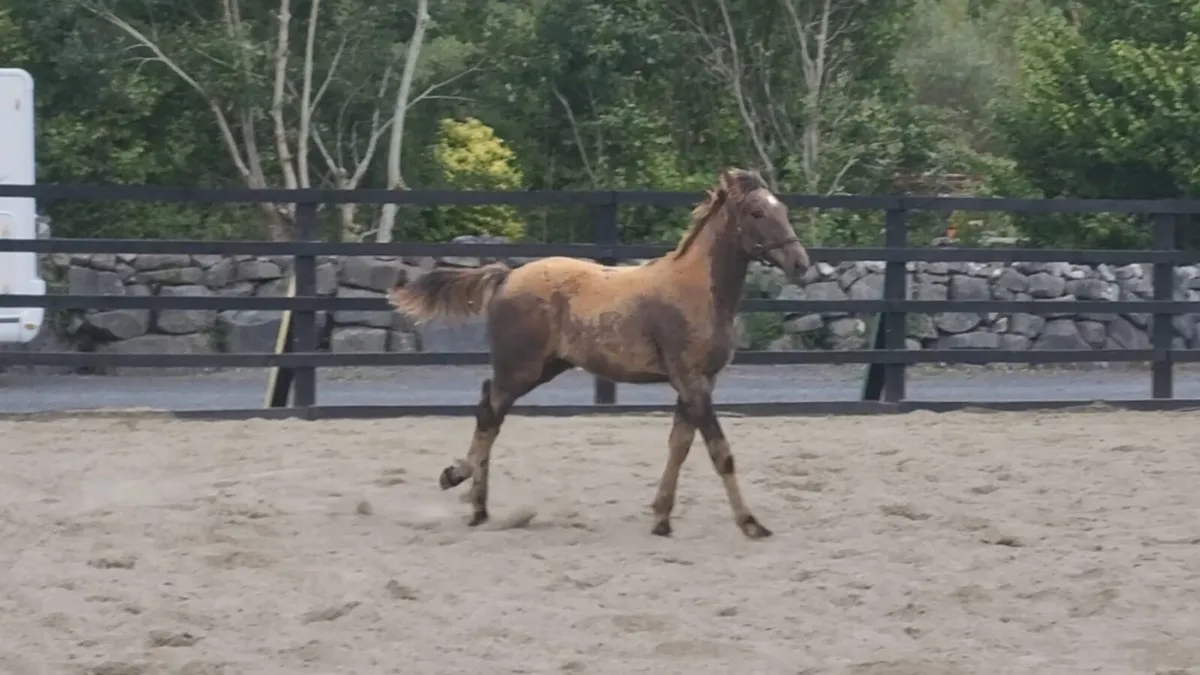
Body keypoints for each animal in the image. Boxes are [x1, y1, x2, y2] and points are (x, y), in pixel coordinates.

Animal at [387, 168, 810, 539]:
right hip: (521, 368)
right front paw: (751, 524)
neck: (696, 291)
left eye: (782, 208)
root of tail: (506, 275)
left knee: (490, 409)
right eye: (756, 212)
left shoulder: (697, 383)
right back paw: (458, 480)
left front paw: (661, 518)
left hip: (542, 367)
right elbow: (720, 452)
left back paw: (478, 506)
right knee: (488, 412)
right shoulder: (692, 380)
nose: (801, 264)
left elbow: (680, 445)